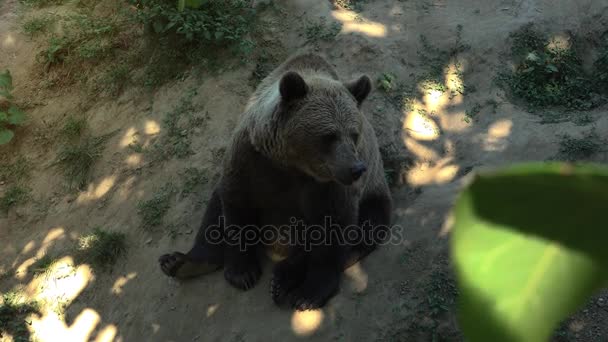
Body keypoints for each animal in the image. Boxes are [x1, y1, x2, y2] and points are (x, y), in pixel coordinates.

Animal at [159, 51, 392, 310]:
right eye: (329, 136)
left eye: (354, 133)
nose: (356, 169)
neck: (291, 164)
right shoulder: (250, 159)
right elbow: (235, 205)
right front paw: (242, 272)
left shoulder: (327, 186)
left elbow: (334, 228)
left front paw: (309, 293)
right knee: (214, 210)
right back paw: (181, 262)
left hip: (374, 191)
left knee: (367, 228)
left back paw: (284, 277)